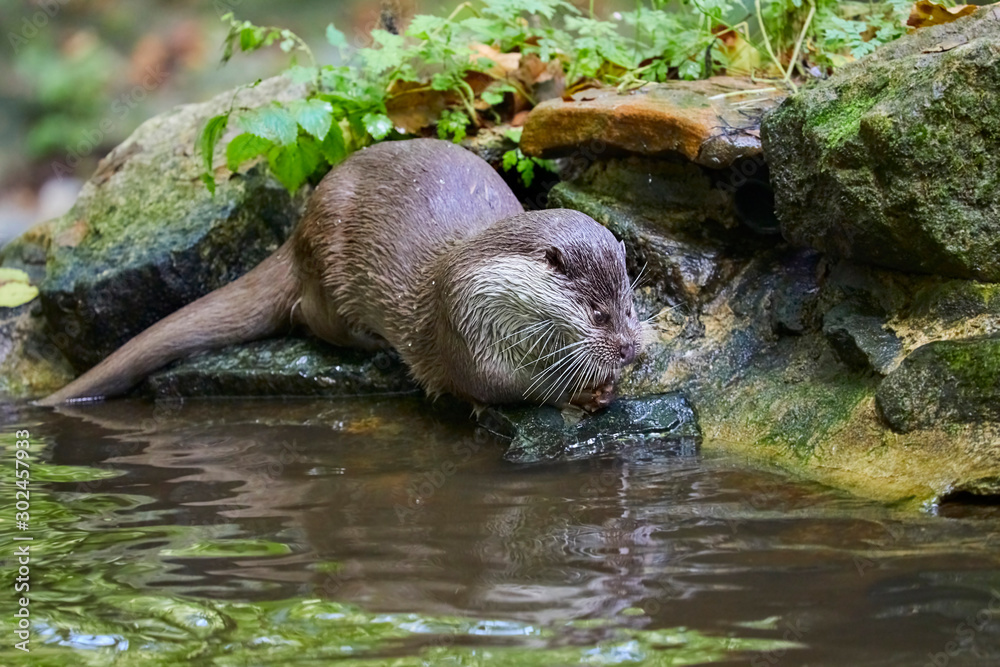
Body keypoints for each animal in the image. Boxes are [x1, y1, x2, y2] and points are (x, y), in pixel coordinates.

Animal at [40, 139, 643, 410]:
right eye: (597, 313)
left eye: (631, 307)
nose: (631, 350)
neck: (483, 280)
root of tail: (300, 226)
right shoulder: (467, 334)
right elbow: (502, 390)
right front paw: (579, 395)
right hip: (330, 268)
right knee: (312, 317)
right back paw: (371, 344)